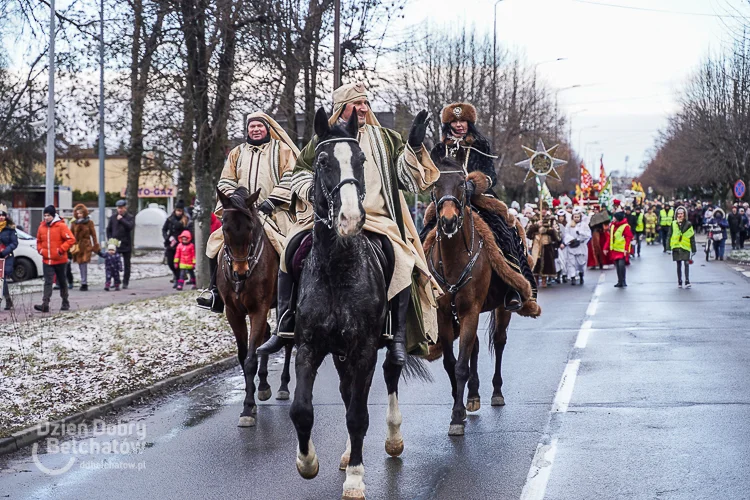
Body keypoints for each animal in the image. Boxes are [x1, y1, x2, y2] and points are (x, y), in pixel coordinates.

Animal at [217, 186, 294, 428]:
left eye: (250, 227)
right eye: (225, 227)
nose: (240, 272)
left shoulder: (258, 308)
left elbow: (251, 358)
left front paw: (248, 408)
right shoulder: (233, 312)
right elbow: (244, 355)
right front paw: (251, 399)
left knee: (287, 341)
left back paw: (282, 386)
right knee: (266, 338)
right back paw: (263, 385)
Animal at [424, 158, 540, 436]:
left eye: (461, 184)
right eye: (435, 185)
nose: (448, 221)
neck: (454, 260)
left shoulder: (470, 310)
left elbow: (461, 365)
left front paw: (457, 416)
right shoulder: (446, 314)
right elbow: (451, 363)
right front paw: (460, 406)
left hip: (502, 308)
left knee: (498, 342)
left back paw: (496, 392)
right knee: (475, 347)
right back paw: (473, 396)